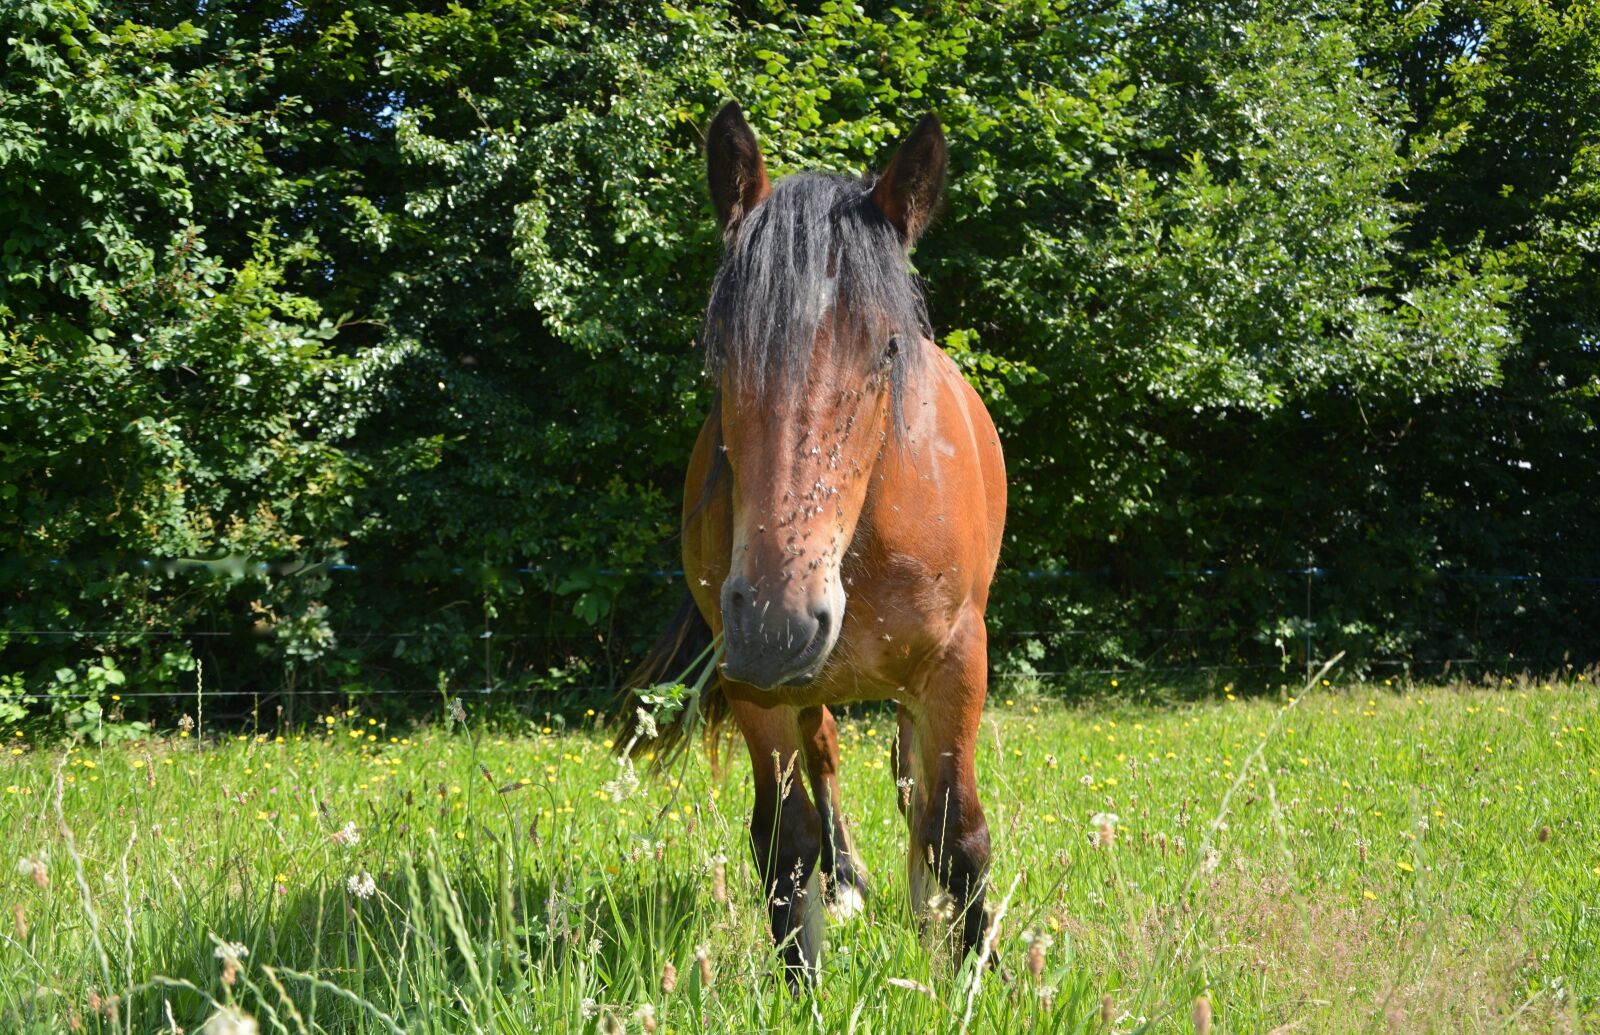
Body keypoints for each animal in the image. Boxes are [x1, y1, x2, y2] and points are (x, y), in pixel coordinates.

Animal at [623, 102, 1006, 982]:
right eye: (719, 350)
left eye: (890, 347)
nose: (776, 623)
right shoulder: (755, 687)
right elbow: (782, 840)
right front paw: (802, 978)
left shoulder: (958, 659)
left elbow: (959, 828)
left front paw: (981, 974)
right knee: (827, 754)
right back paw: (851, 881)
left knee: (910, 780)